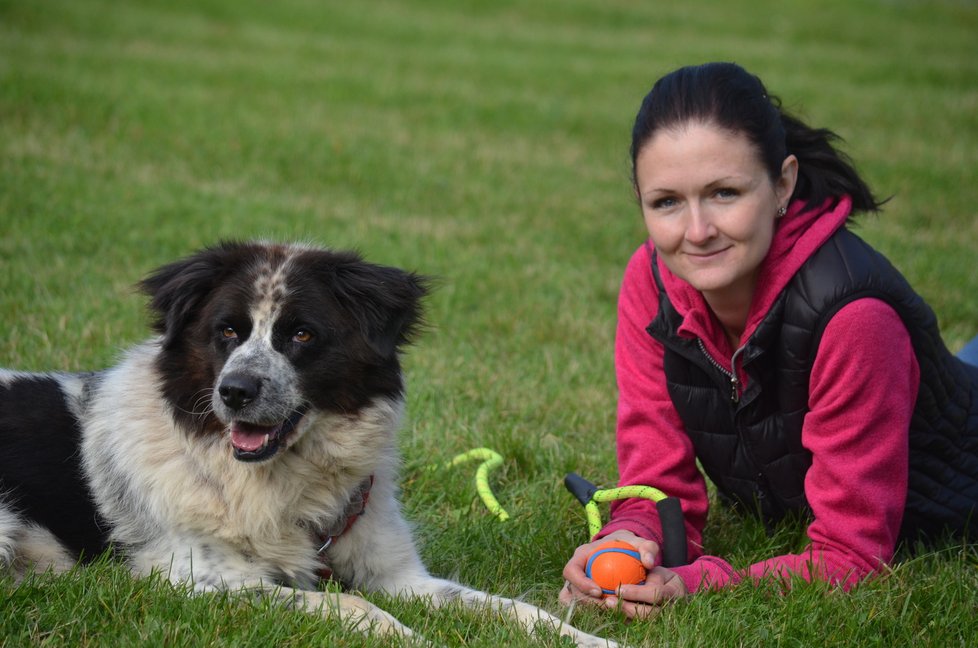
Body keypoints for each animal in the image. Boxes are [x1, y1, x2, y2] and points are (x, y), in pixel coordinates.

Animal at [0, 240, 608, 644]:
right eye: (226, 331)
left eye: (301, 334)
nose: (235, 391)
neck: (286, 480)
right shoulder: (192, 578)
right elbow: (352, 606)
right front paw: (413, 638)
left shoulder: (397, 574)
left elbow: (511, 608)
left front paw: (589, 638)